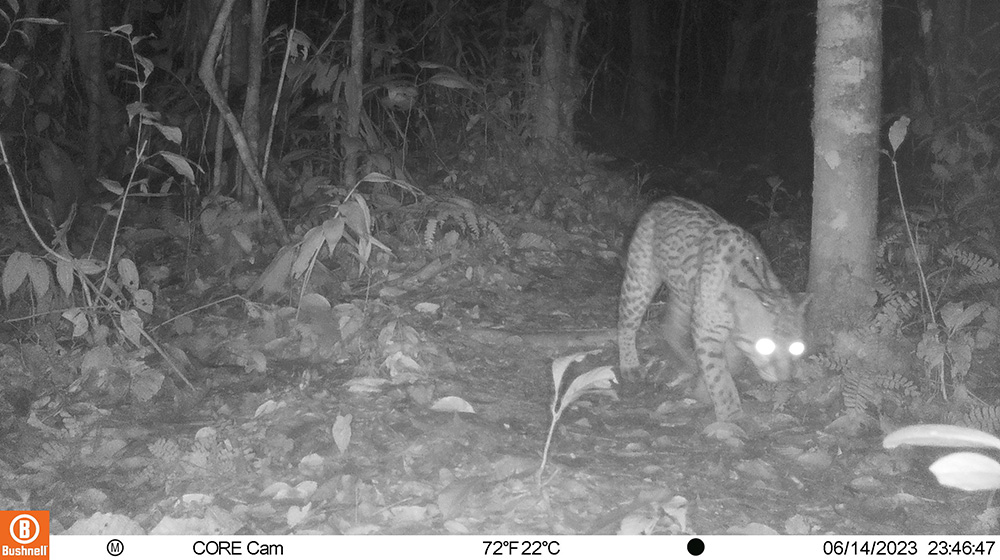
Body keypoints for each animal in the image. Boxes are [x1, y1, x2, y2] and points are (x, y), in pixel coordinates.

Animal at [616, 197, 804, 420]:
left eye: (796, 348)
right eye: (766, 347)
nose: (786, 378)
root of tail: (662, 200)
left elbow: (730, 365)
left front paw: (703, 390)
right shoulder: (708, 333)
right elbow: (719, 375)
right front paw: (731, 415)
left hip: (685, 294)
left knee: (669, 326)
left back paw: (688, 360)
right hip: (639, 280)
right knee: (626, 322)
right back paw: (629, 365)